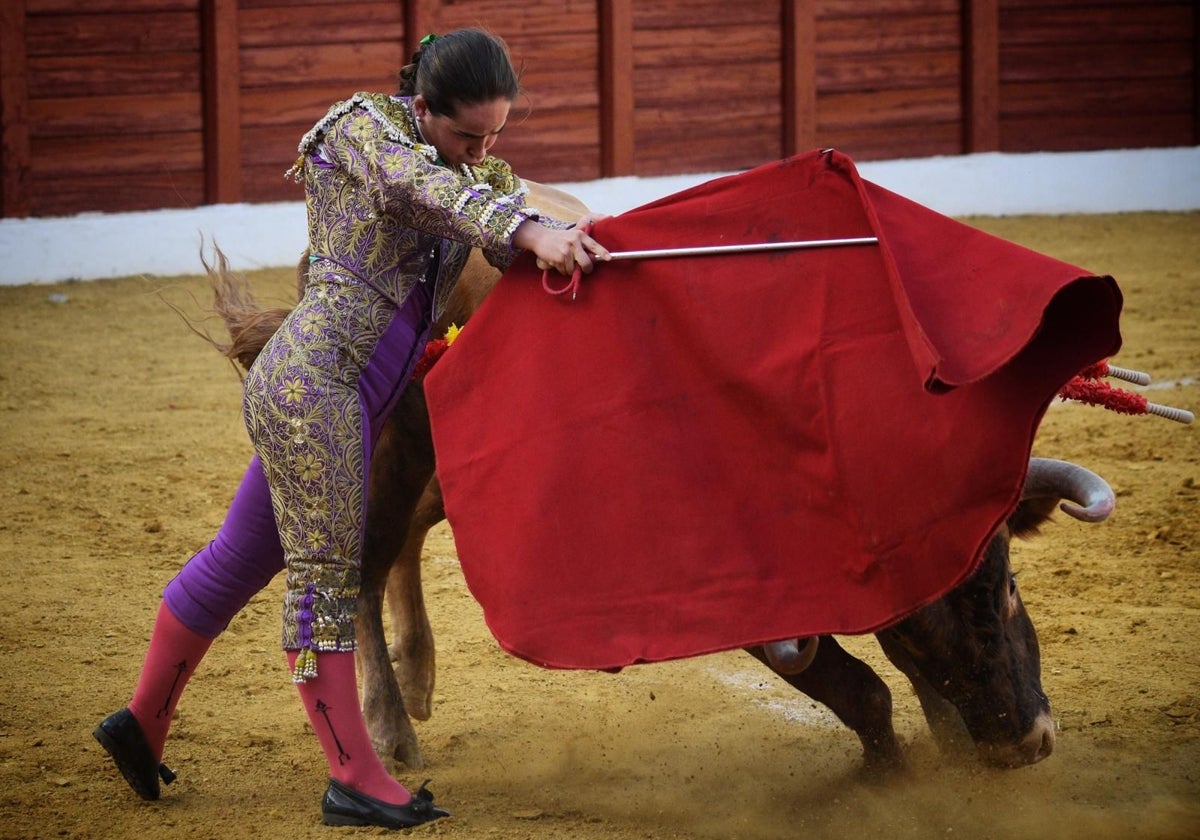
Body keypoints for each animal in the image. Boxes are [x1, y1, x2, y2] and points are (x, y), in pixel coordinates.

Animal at [204, 182, 1113, 772]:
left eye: (1008, 588)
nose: (1026, 745)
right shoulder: (753, 603)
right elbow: (859, 690)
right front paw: (894, 776)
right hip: (385, 436)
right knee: (357, 559)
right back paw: (392, 731)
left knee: (404, 542)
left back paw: (419, 679)